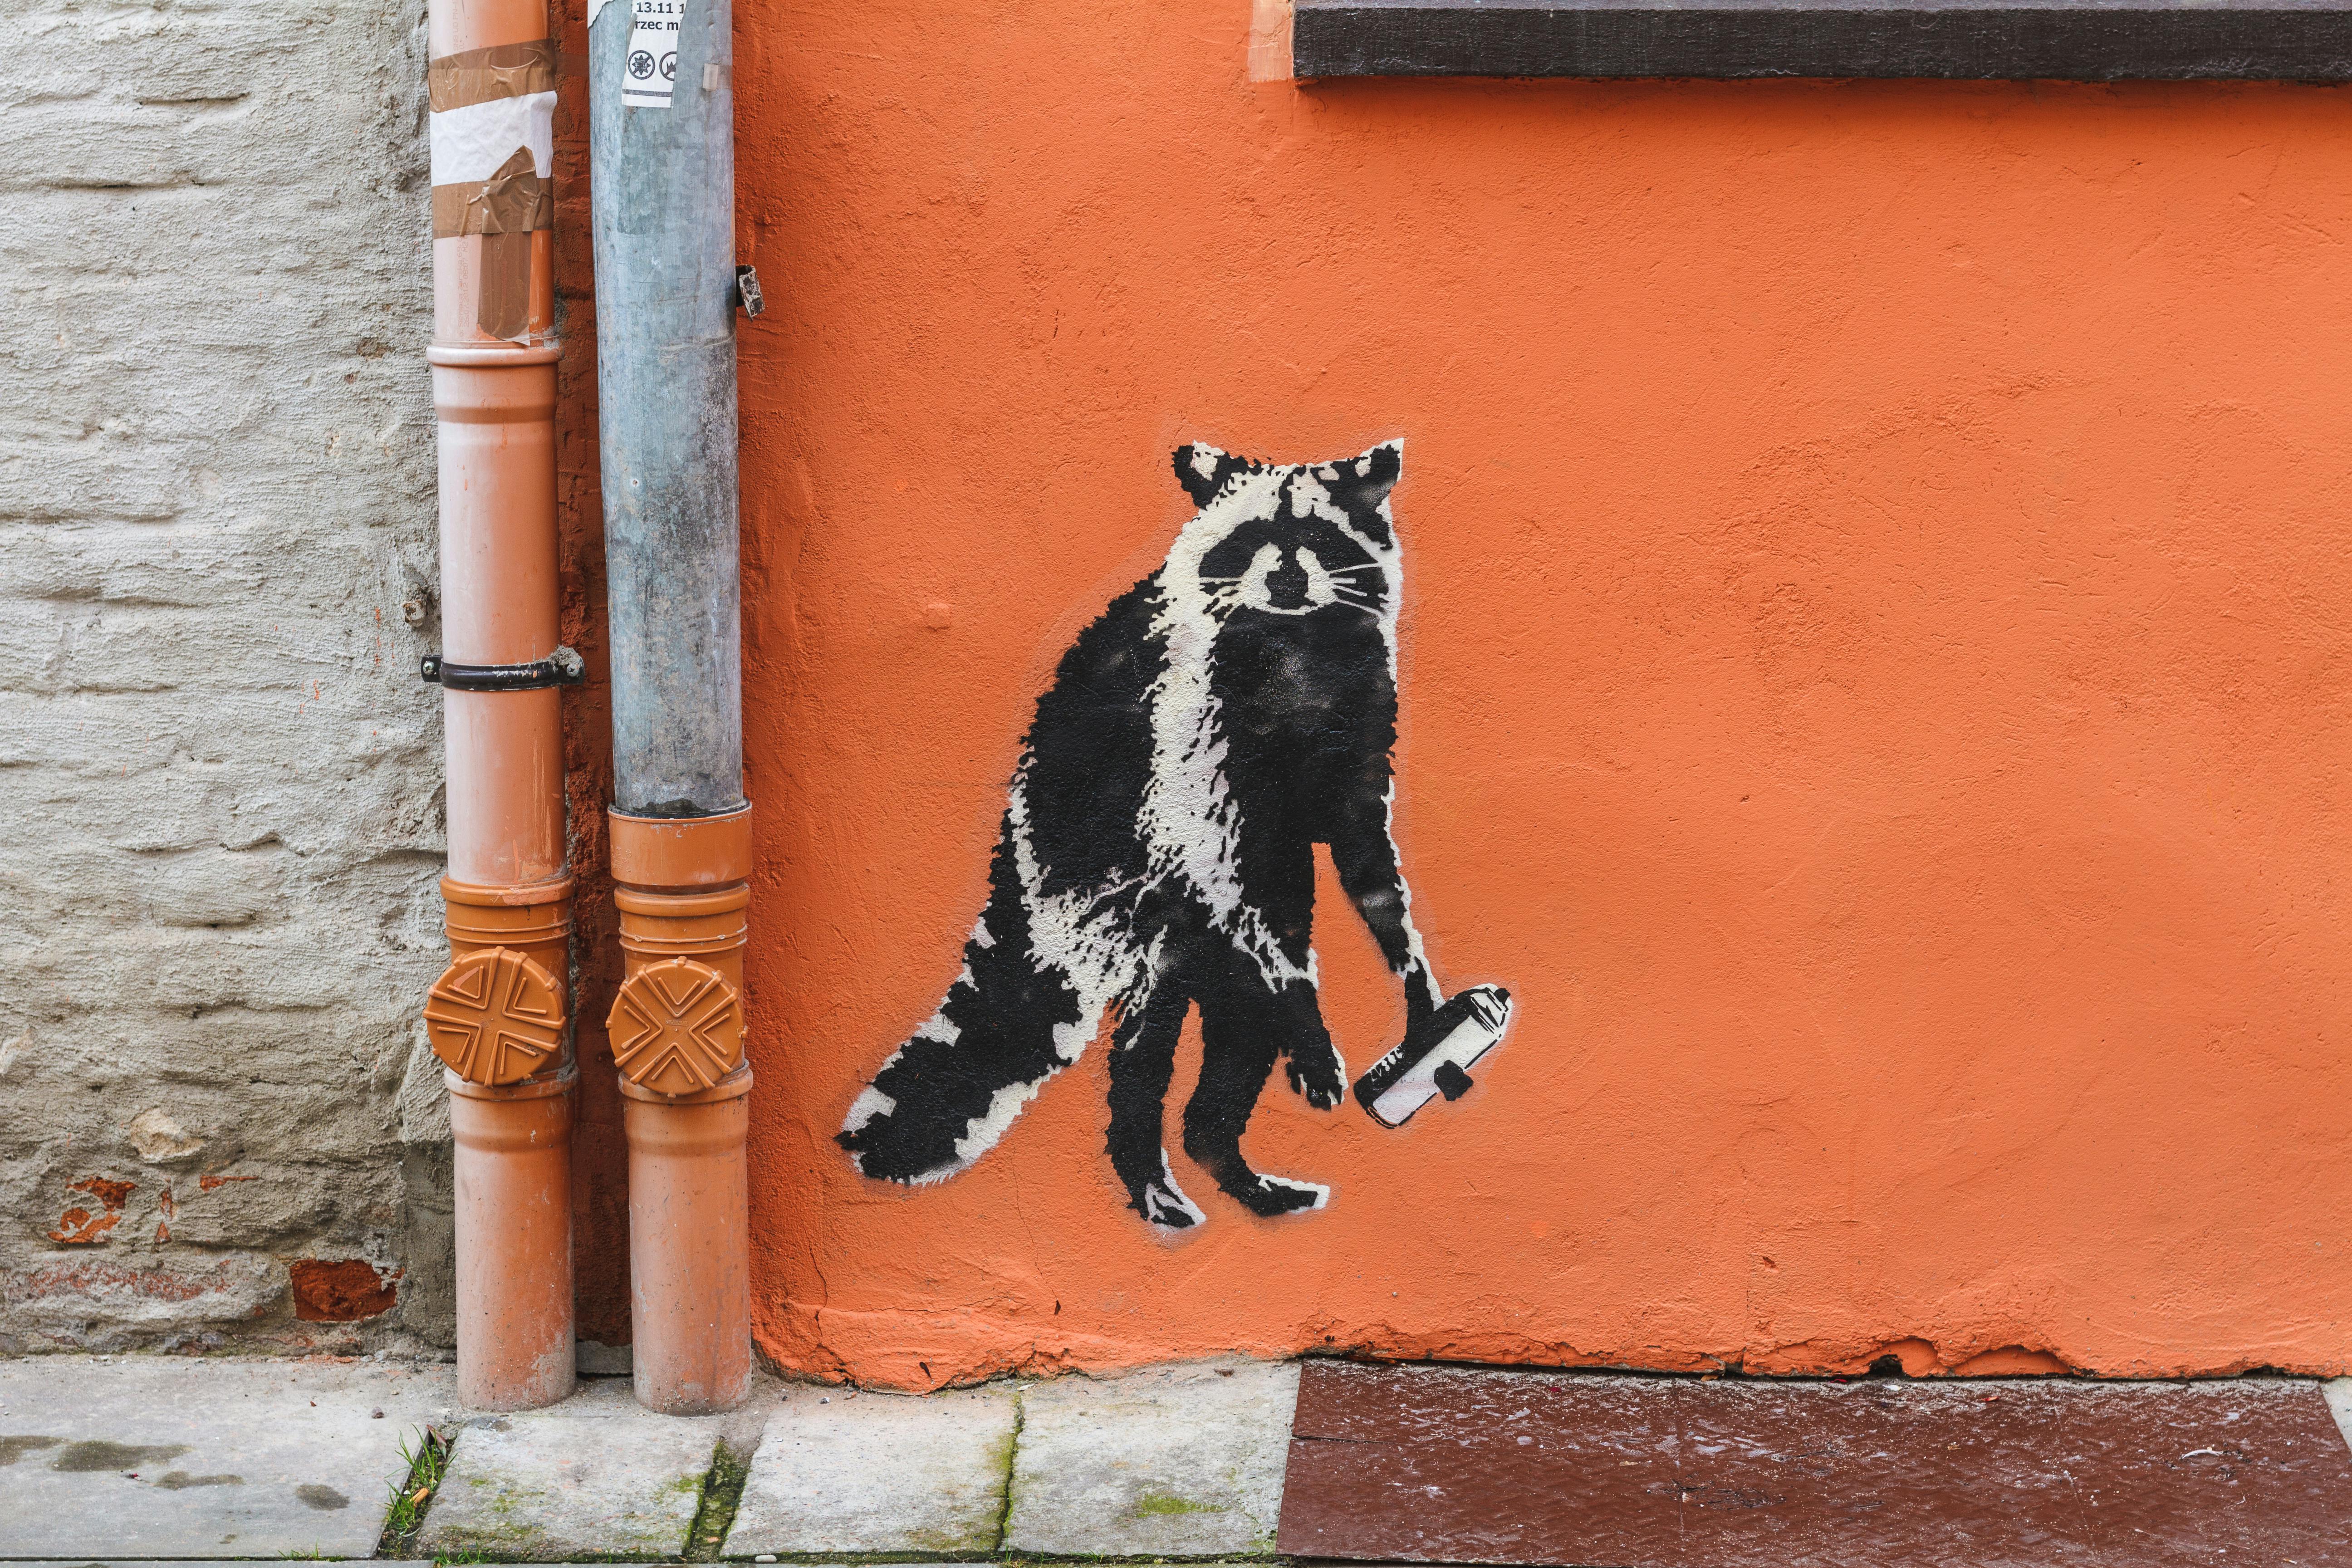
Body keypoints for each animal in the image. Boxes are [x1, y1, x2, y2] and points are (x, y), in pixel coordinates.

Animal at [840, 439, 1503, 1228]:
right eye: (1250, 540)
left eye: (1317, 538)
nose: (1285, 578)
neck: (1295, 642)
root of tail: (1017, 864)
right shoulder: (1189, 740)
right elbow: (1231, 869)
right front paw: (1313, 1014)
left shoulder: (1360, 726)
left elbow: (1367, 861)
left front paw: (1417, 985)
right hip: (1124, 896)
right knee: (1158, 1047)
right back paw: (1158, 1162)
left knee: (1237, 1017)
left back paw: (1223, 1158)